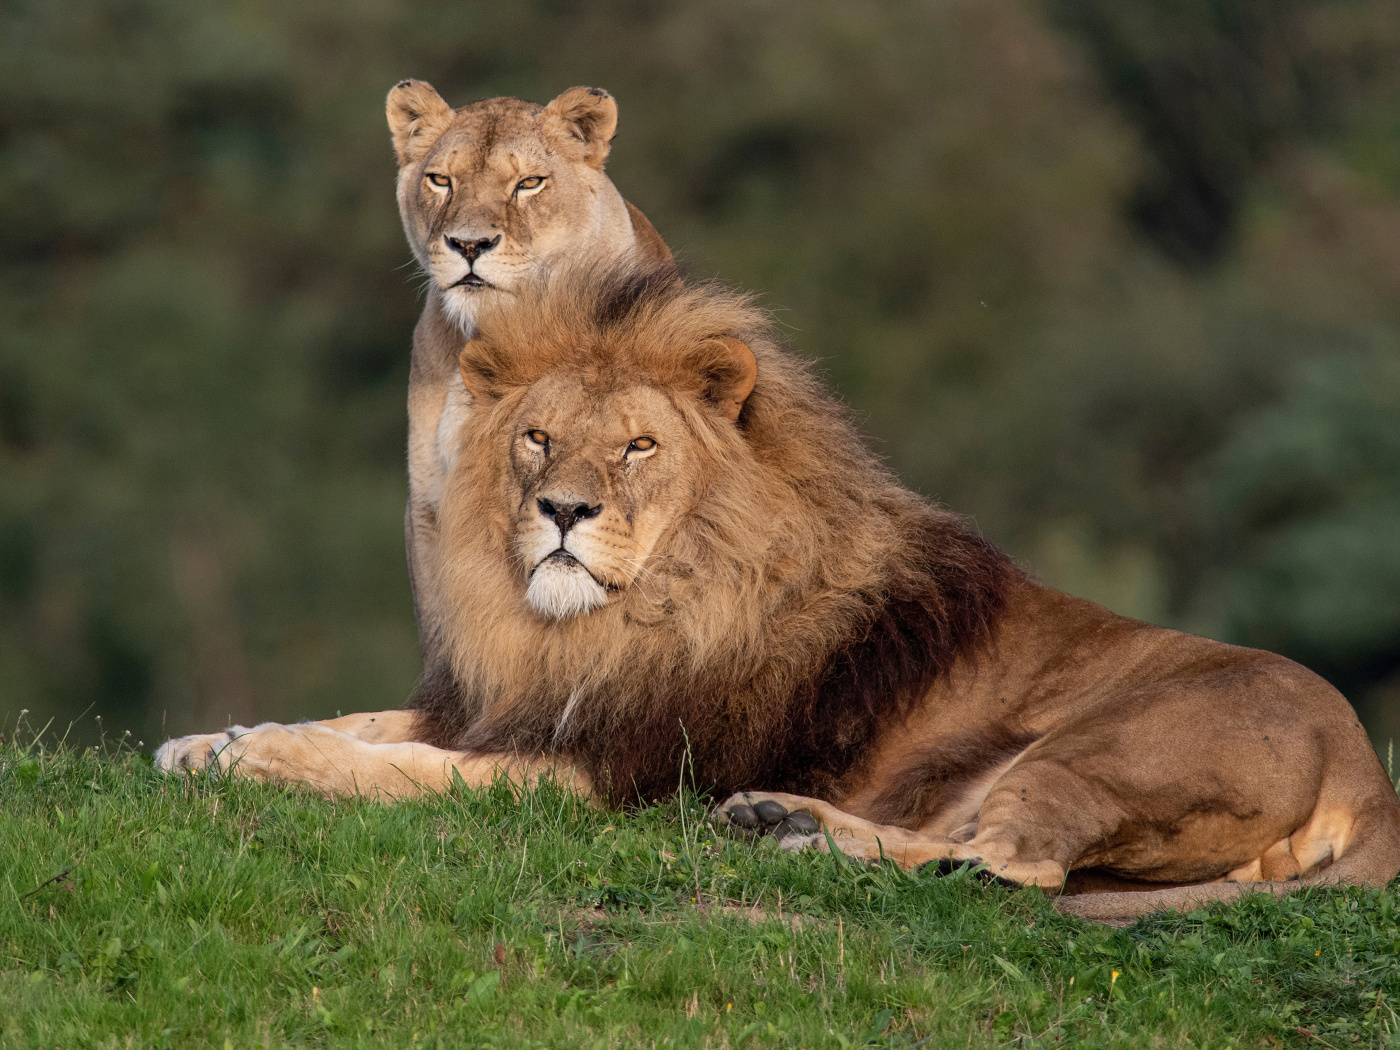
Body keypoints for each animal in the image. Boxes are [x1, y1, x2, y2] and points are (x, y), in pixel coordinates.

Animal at [156, 267, 1400, 924]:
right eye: (538, 438)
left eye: (640, 447)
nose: (562, 511)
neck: (605, 625)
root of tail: (1366, 771)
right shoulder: (509, 704)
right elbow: (369, 721)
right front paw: (202, 740)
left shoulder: (601, 775)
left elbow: (400, 767)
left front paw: (262, 755)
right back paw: (781, 823)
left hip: (1098, 747)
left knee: (1015, 871)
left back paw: (797, 844)